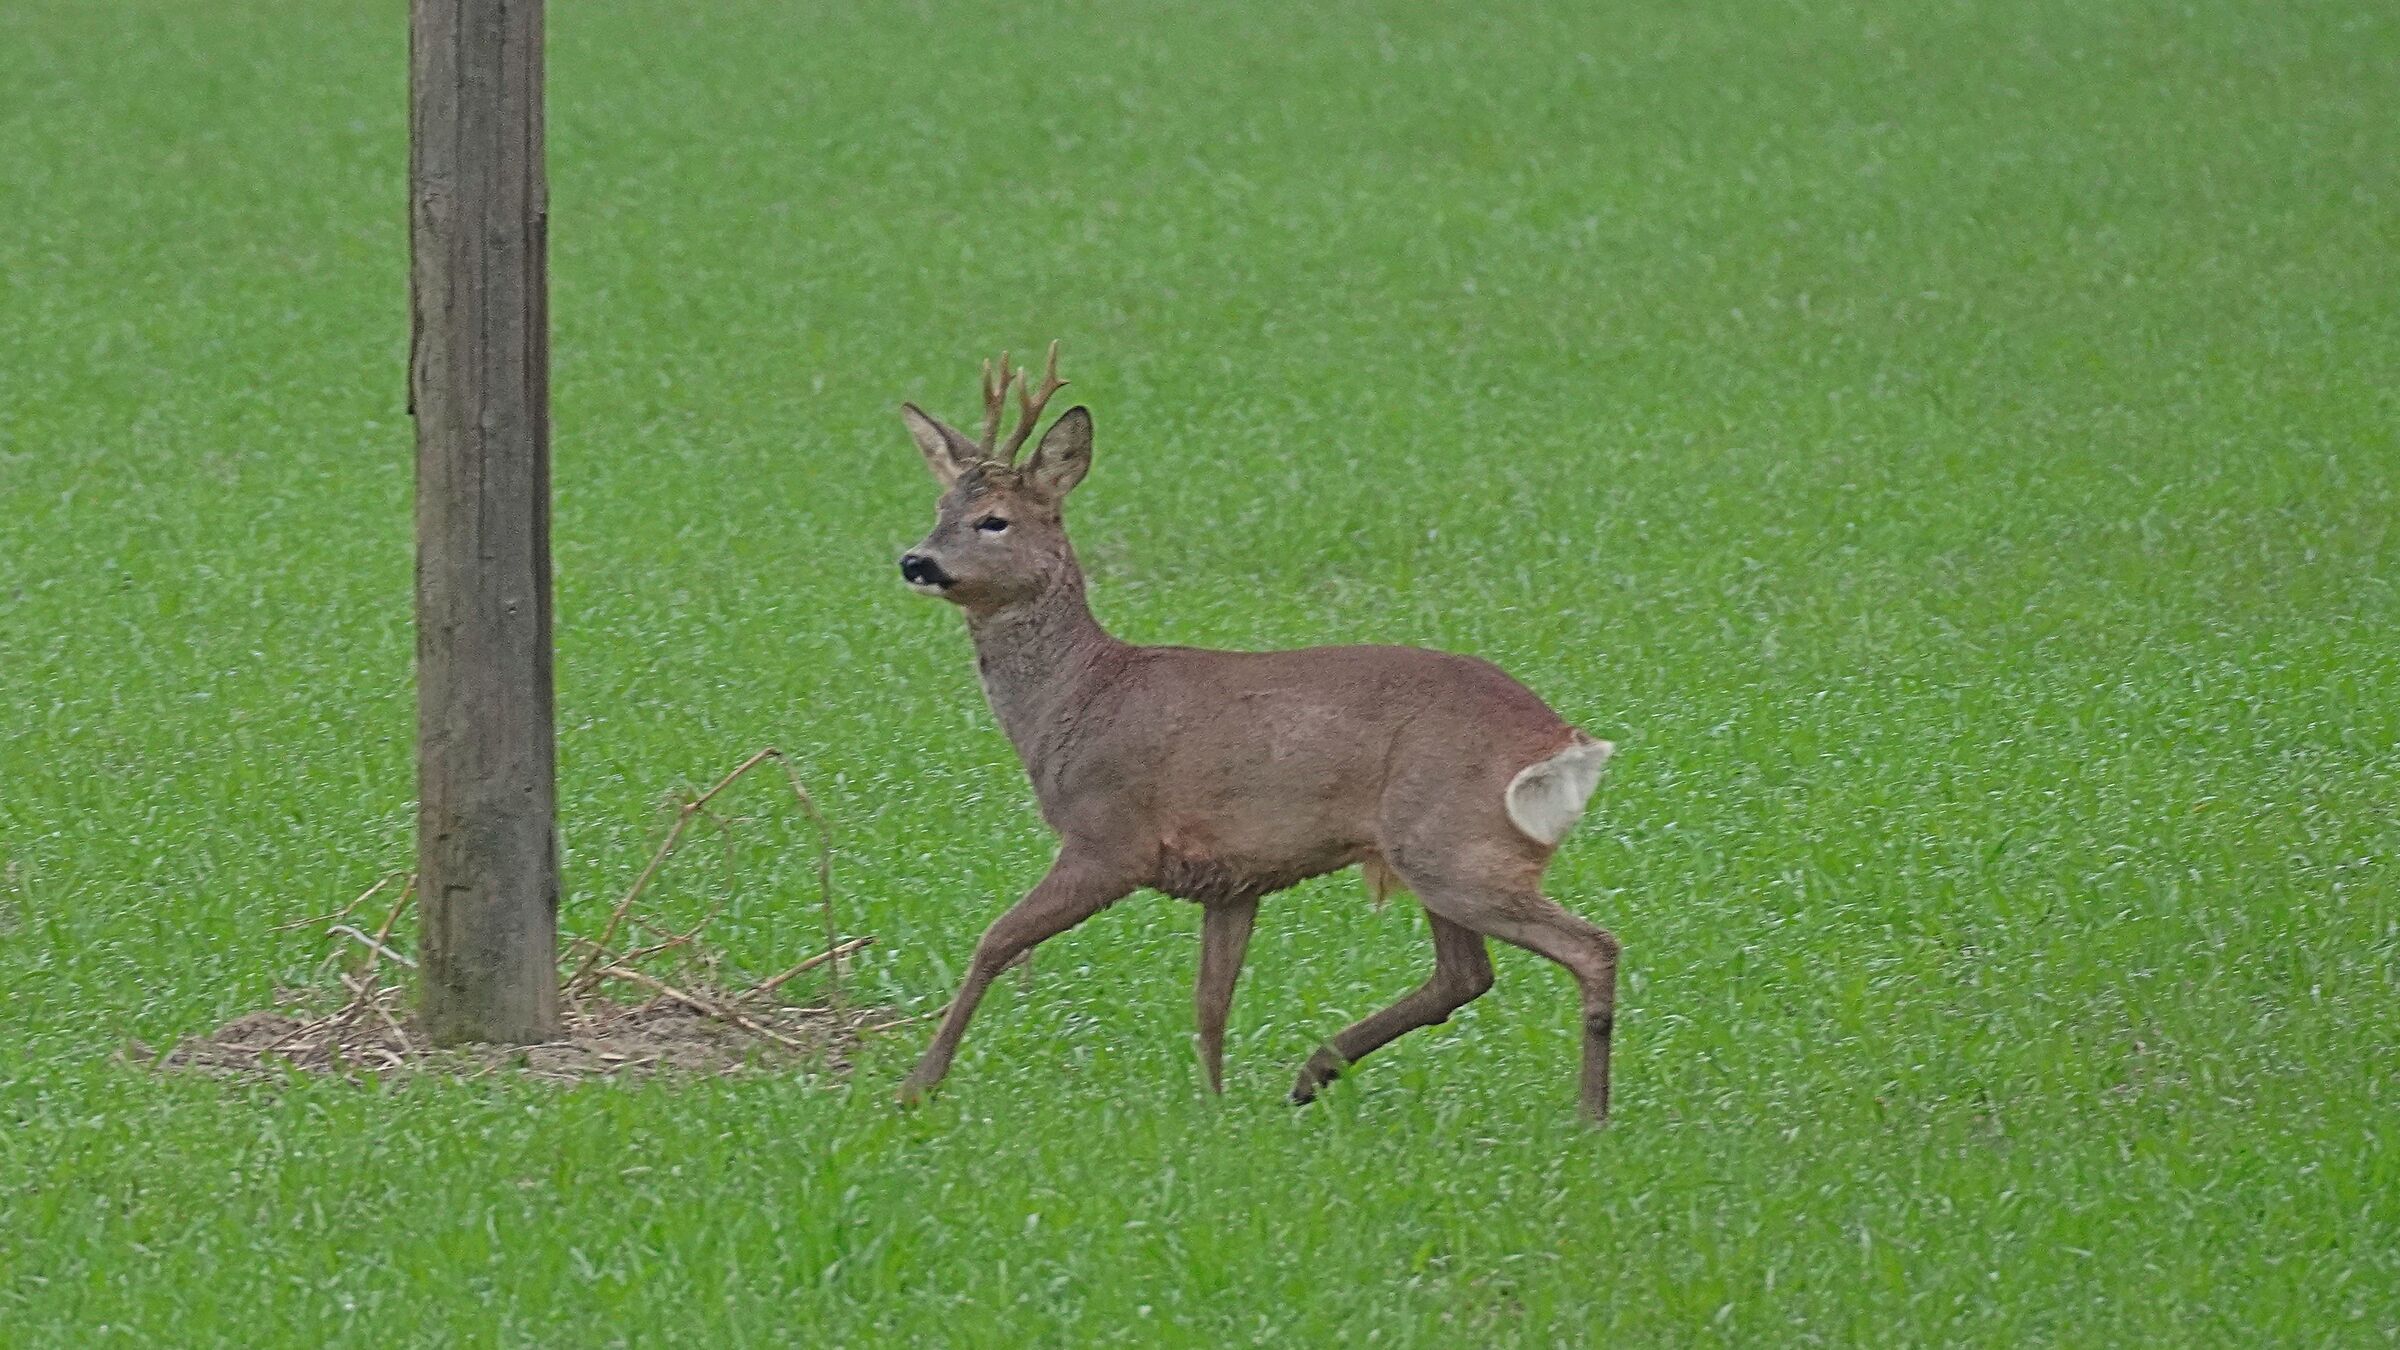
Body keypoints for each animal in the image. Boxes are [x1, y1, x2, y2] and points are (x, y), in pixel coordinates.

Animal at [893, 344, 1624, 1121]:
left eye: (994, 520)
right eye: (940, 509)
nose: (916, 561)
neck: (1078, 696)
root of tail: (1562, 739)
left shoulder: (1109, 836)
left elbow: (995, 940)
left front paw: (918, 1083)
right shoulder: (1231, 878)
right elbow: (1211, 1004)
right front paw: (1213, 1108)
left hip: (1455, 844)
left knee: (1591, 947)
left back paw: (1590, 1116)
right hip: (1430, 851)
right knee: (1464, 974)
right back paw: (1310, 1075)